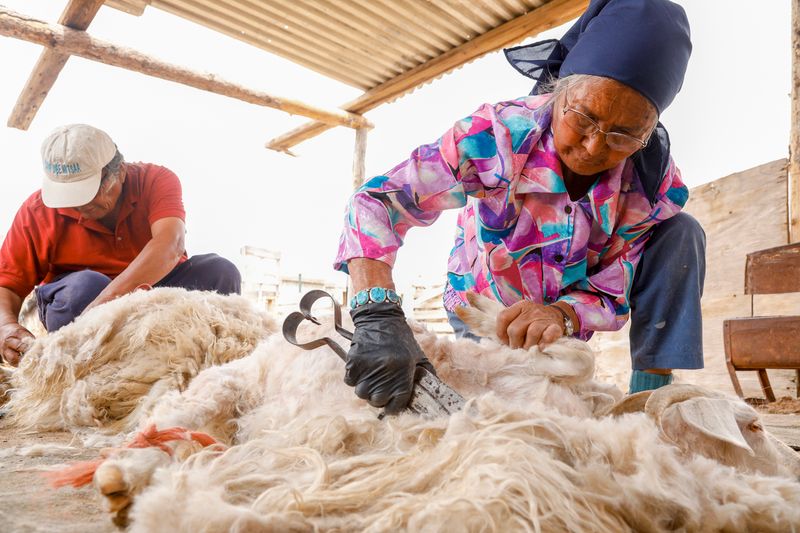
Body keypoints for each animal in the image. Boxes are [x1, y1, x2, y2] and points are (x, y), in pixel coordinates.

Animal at [71, 296, 800, 531]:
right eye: (753, 426)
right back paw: (119, 473)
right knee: (164, 424)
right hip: (217, 390)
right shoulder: (532, 372)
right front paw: (485, 306)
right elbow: (568, 353)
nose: (791, 471)